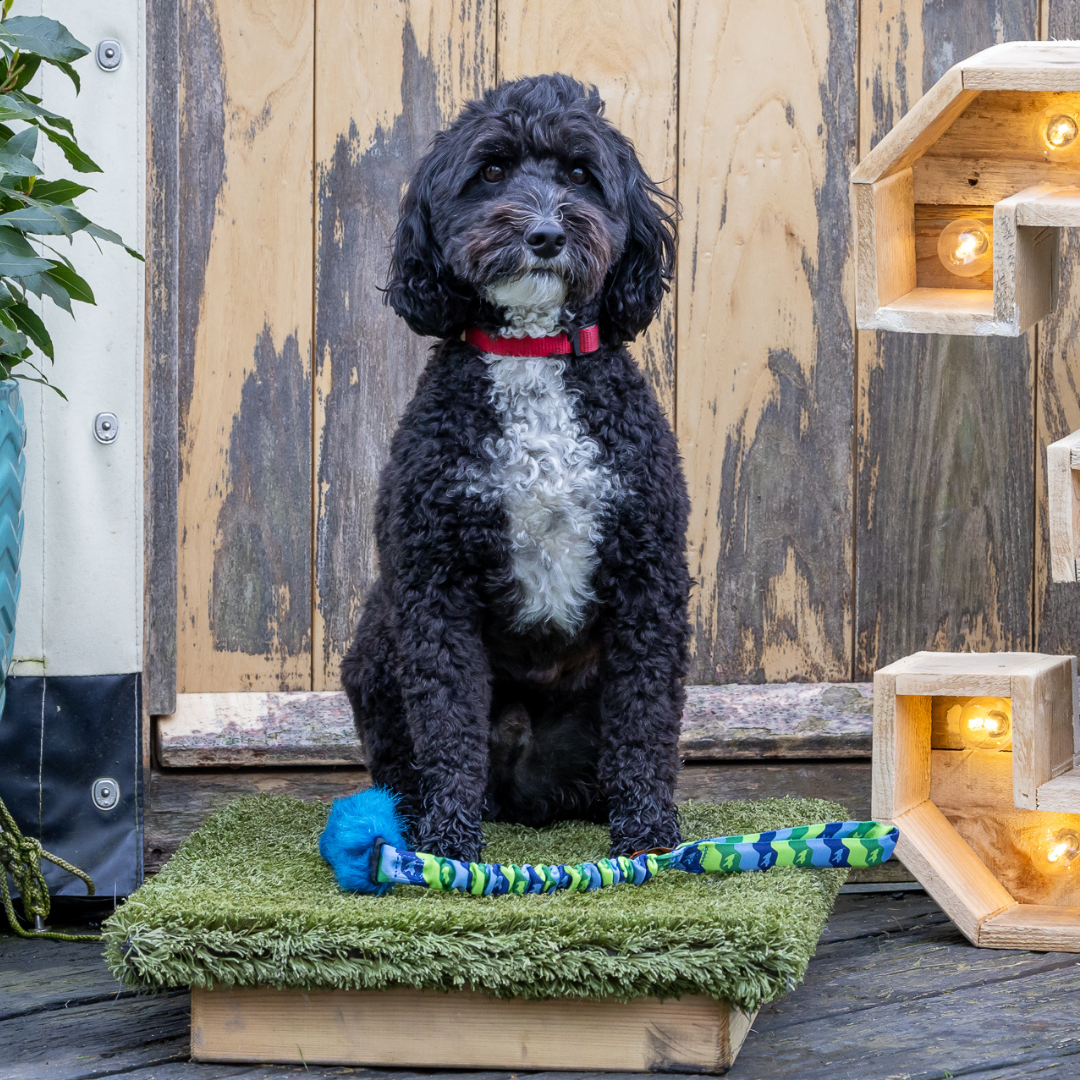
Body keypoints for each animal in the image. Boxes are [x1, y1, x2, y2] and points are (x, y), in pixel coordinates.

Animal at [343, 73, 691, 859]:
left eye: (580, 174)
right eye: (493, 170)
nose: (546, 234)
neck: (531, 355)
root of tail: (527, 792)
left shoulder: (649, 579)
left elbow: (647, 718)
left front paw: (647, 833)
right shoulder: (434, 584)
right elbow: (446, 722)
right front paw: (448, 842)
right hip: (378, 639)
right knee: (407, 753)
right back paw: (411, 817)